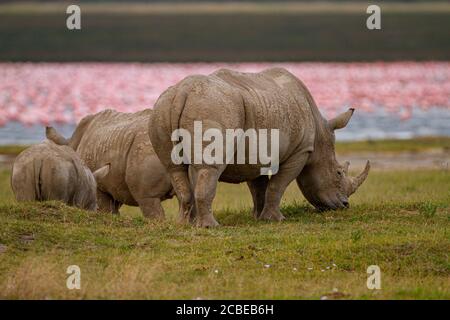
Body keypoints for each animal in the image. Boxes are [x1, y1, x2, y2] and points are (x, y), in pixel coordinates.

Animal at [149, 67, 370, 228]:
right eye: (339, 173)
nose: (345, 205)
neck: (320, 137)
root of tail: (182, 91)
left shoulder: (256, 153)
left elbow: (259, 186)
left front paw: (258, 217)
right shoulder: (300, 151)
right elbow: (277, 185)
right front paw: (276, 219)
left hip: (164, 107)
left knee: (174, 168)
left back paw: (184, 224)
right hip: (212, 106)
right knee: (209, 167)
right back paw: (210, 226)